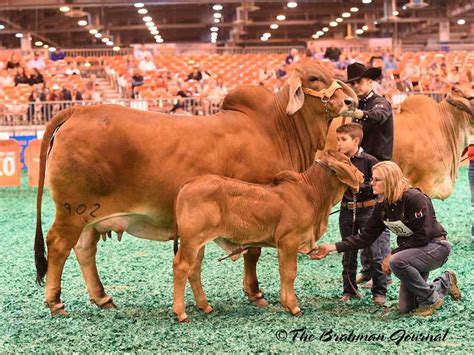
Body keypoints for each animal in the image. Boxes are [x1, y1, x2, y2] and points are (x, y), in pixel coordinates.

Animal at [173, 150, 362, 322]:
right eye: (347, 161)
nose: (361, 176)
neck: (311, 195)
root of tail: (188, 184)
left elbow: (283, 271)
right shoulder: (289, 240)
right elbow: (290, 272)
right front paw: (293, 307)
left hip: (199, 243)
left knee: (194, 269)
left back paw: (205, 306)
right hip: (192, 240)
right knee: (181, 266)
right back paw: (181, 313)